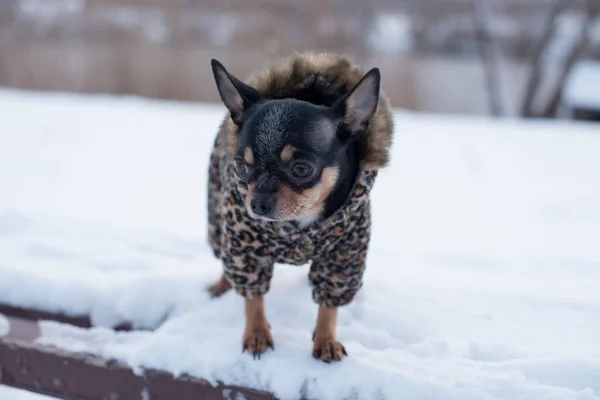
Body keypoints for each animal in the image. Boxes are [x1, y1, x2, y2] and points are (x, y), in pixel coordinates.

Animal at [206, 52, 394, 362]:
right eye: (240, 165)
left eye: (301, 168)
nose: (257, 202)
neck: (300, 225)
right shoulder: (245, 248)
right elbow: (253, 298)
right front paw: (257, 334)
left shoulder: (343, 257)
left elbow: (329, 305)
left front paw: (326, 340)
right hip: (217, 211)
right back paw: (222, 285)